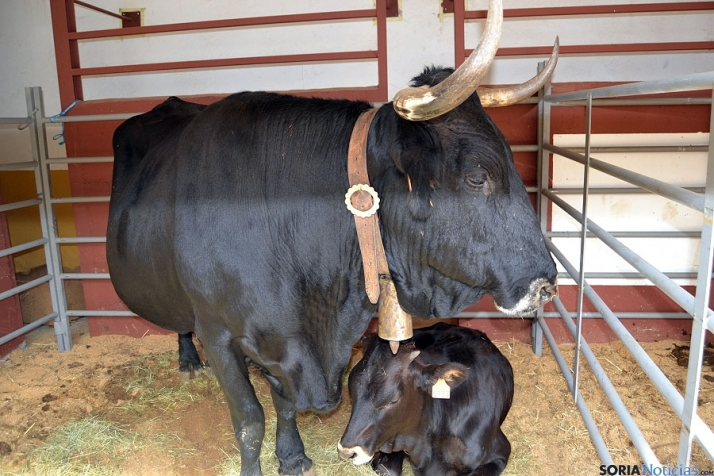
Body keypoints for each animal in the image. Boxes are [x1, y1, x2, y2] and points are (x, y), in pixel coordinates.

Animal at [105, 67, 556, 472]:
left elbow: (285, 404)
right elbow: (250, 421)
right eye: (478, 176)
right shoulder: (219, 335)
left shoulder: (285, 339)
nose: (546, 283)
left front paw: (292, 458)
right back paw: (187, 359)